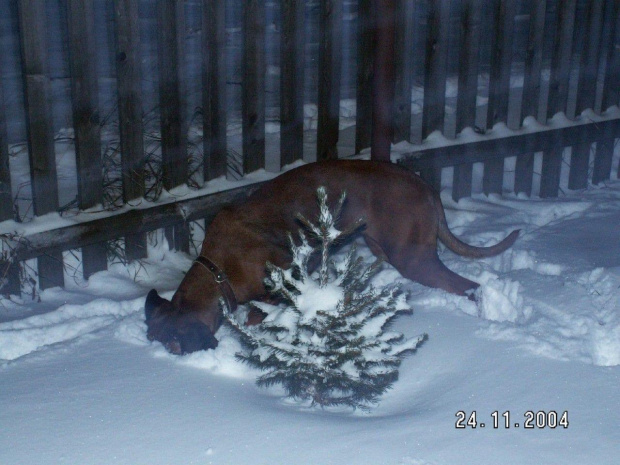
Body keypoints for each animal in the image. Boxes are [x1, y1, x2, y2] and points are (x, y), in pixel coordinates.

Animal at [145, 160, 520, 352]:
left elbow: (261, 313)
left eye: (173, 345)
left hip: (413, 259)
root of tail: (424, 184)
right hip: (382, 246)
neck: (218, 268)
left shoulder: (292, 275)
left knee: (469, 286)